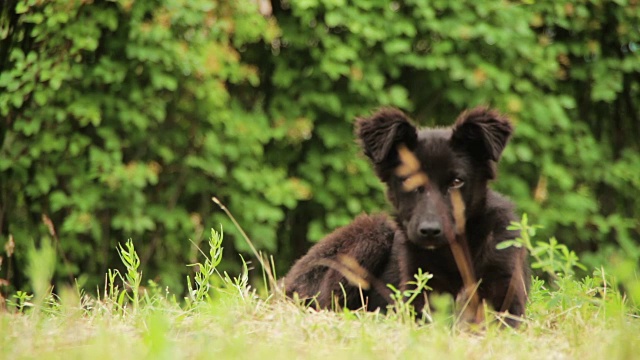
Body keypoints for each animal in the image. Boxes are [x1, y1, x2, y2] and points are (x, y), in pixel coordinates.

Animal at [282, 106, 528, 326]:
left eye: (457, 182)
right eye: (409, 180)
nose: (430, 231)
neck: (454, 250)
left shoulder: (506, 290)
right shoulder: (420, 293)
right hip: (373, 233)